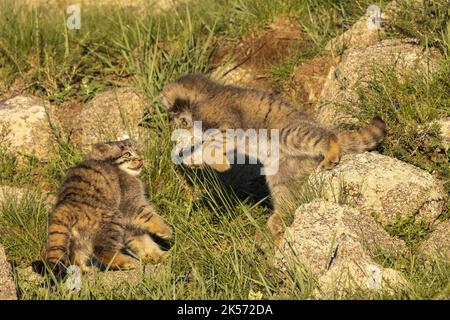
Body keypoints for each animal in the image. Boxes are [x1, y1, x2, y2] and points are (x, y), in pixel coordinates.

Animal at [45, 139, 172, 274]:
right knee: (101, 249)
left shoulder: (129, 226)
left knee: (77, 254)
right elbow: (150, 217)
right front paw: (165, 230)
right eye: (127, 154)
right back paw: (124, 263)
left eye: (137, 150)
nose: (140, 159)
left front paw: (158, 255)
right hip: (113, 219)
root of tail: (66, 204)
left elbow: (142, 240)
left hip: (81, 237)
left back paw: (85, 269)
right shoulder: (131, 205)